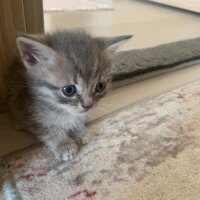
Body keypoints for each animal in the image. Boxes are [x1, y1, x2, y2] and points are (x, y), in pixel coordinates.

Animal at [5, 29, 132, 161]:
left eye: (100, 86)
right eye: (69, 90)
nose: (88, 105)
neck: (62, 110)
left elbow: (77, 120)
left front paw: (80, 131)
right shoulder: (32, 115)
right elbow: (51, 131)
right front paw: (64, 145)